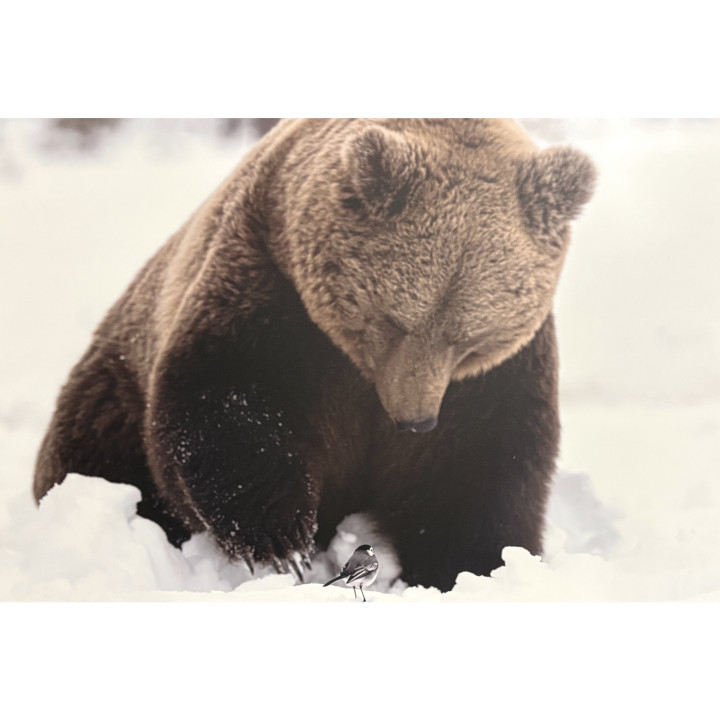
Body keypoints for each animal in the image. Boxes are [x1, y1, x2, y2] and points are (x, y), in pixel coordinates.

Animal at [33, 119, 596, 592]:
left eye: (468, 338)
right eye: (393, 319)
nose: (413, 420)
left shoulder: (495, 377)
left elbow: (479, 466)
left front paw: (472, 568)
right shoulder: (272, 295)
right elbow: (227, 405)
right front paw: (283, 545)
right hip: (114, 392)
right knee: (98, 456)